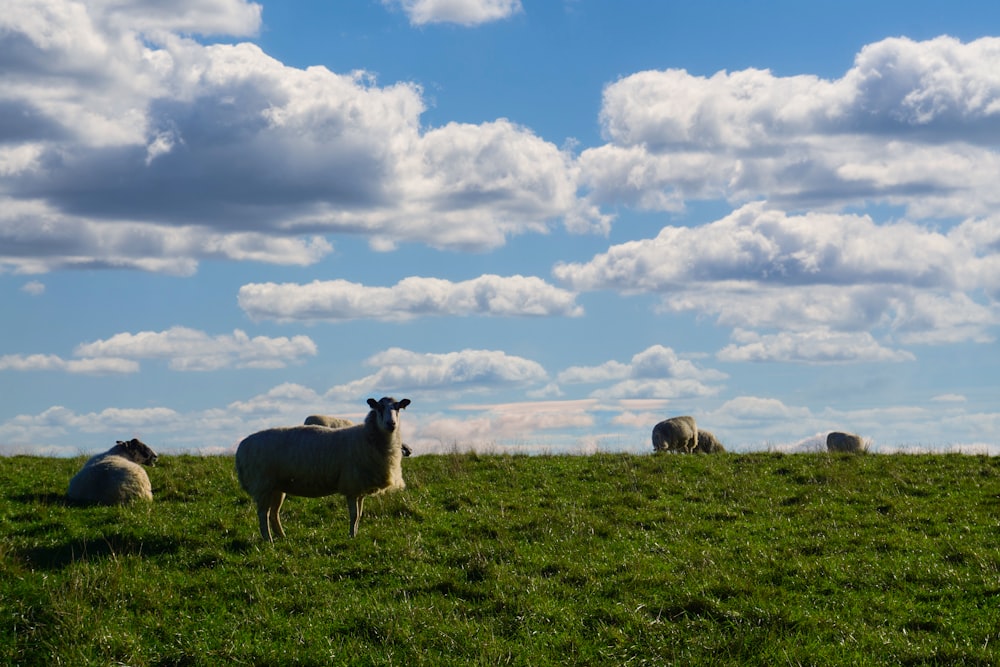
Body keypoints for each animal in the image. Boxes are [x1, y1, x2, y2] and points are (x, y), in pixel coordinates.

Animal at [236, 396, 412, 544]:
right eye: (379, 408)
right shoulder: (351, 484)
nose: (391, 424)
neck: (366, 437)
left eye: (398, 408)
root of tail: (241, 447)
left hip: (276, 487)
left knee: (274, 514)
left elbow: (360, 514)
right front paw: (351, 536)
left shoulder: (359, 487)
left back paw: (282, 537)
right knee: (263, 514)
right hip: (262, 485)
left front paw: (355, 534)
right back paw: (269, 540)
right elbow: (354, 514)